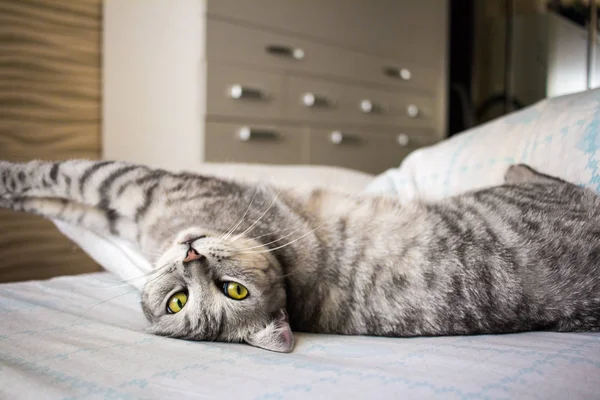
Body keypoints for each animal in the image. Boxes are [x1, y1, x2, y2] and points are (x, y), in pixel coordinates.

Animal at [1, 159, 600, 354]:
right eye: (177, 301)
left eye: (232, 291)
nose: (192, 257)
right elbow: (60, 197)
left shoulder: (139, 187)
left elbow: (61, 176)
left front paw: (8, 178)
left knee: (550, 179)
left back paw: (517, 165)